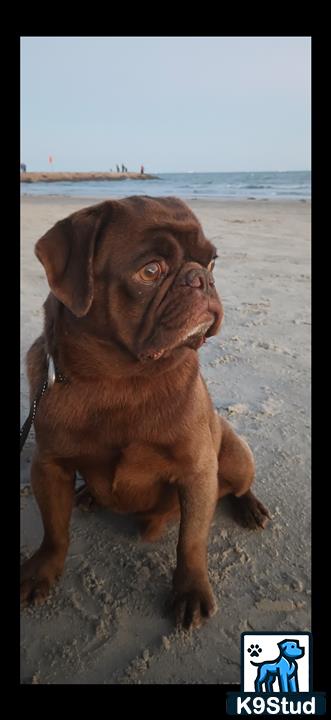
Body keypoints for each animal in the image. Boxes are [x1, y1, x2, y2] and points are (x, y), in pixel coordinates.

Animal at [20, 194, 270, 628]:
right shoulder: (49, 467)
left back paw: (250, 506)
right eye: (150, 271)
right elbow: (55, 532)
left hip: (235, 455)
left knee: (238, 484)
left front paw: (190, 590)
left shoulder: (197, 471)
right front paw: (41, 571)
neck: (119, 380)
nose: (201, 279)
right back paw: (88, 495)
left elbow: (191, 541)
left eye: (211, 263)